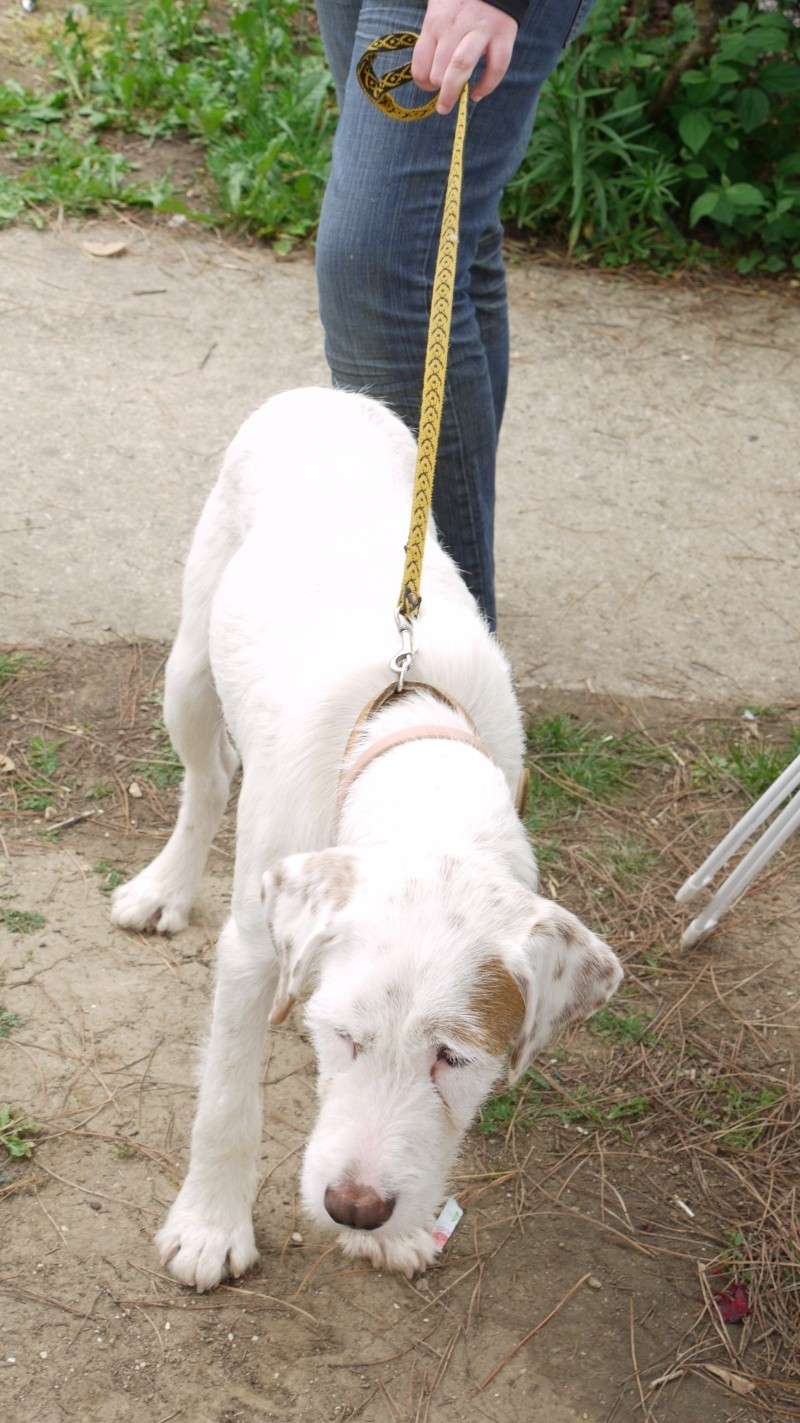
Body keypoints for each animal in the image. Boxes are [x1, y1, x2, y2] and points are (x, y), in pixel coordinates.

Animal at [110, 389, 623, 1292]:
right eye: (345, 1038)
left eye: (454, 1058)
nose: (355, 1208)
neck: (414, 746)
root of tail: (319, 394)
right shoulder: (251, 946)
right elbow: (226, 1098)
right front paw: (209, 1226)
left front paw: (397, 1234)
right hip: (189, 671)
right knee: (207, 780)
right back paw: (164, 887)